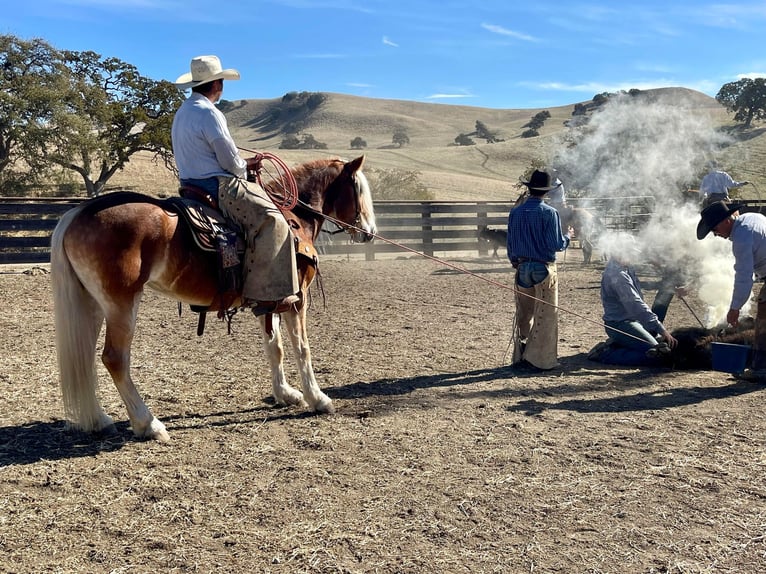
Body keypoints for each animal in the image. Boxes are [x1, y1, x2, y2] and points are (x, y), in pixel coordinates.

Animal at [51, 155, 378, 444]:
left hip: (93, 304)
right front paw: (318, 398)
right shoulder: (298, 299)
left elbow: (275, 348)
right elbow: (301, 349)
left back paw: (99, 419)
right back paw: (148, 424)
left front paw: (285, 394)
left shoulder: (270, 299)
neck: (296, 219)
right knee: (115, 358)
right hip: (121, 304)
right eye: (359, 189)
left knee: (86, 355)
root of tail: (77, 214)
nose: (371, 232)